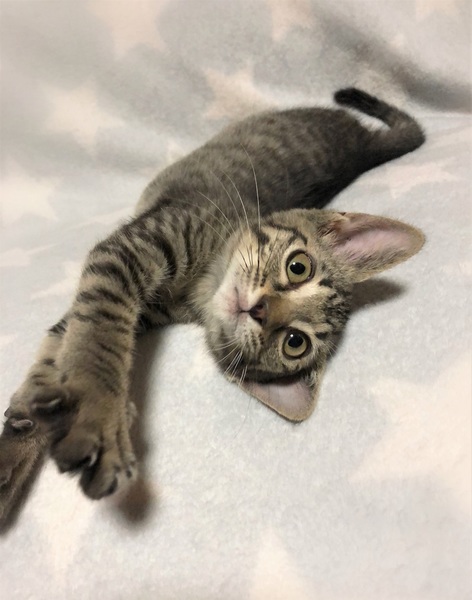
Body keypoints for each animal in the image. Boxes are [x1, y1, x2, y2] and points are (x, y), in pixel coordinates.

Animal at [0, 88, 425, 520]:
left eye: (293, 342)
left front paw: (59, 423)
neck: (198, 285)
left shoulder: (132, 288)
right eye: (299, 267)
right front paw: (71, 420)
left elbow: (75, 345)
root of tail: (362, 144)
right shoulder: (132, 248)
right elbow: (88, 339)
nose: (261, 310)